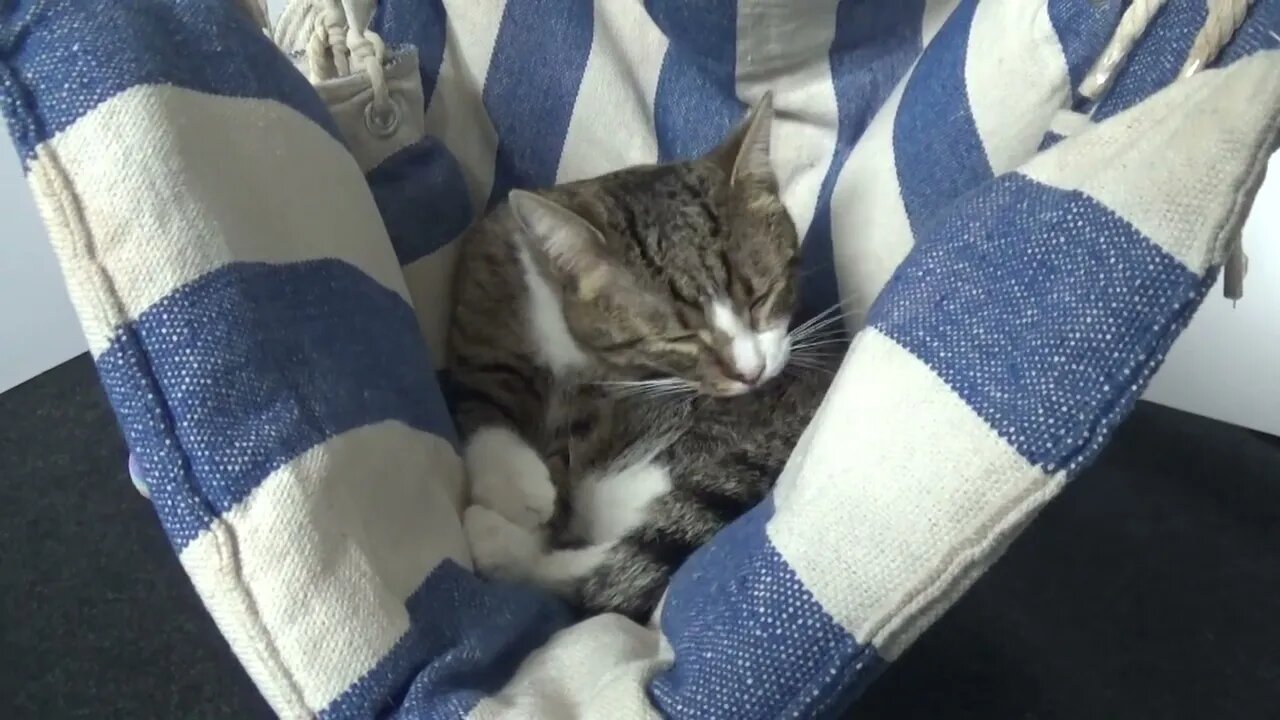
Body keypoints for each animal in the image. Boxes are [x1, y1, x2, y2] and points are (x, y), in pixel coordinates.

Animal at [445, 92, 844, 620]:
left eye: (762, 298)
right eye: (679, 336)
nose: (752, 372)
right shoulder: (488, 276)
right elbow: (485, 387)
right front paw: (516, 486)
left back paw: (496, 539)